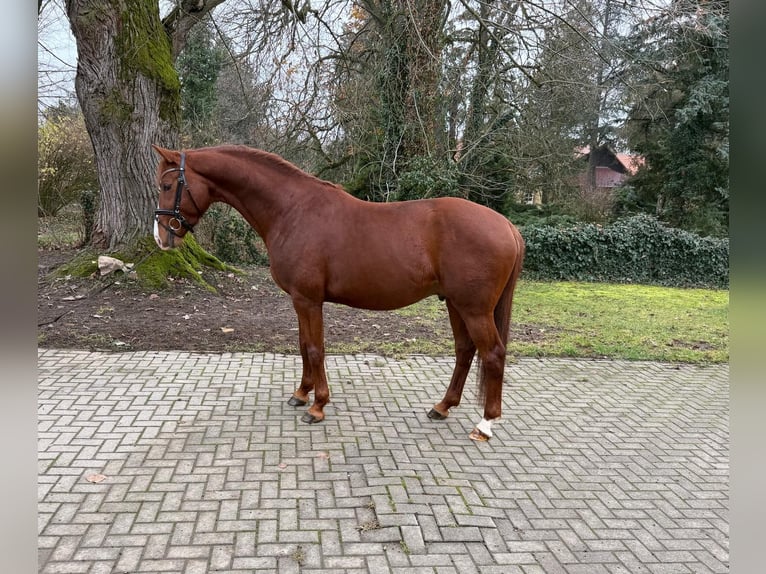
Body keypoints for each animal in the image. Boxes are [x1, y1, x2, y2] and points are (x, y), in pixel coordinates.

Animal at [152, 144, 525, 441]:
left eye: (168, 185)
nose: (161, 238)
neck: (292, 210)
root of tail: (506, 225)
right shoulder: (299, 300)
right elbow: (303, 345)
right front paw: (301, 393)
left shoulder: (308, 299)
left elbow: (315, 349)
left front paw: (317, 406)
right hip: (456, 305)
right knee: (465, 351)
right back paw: (442, 407)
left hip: (474, 308)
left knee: (492, 354)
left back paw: (485, 424)